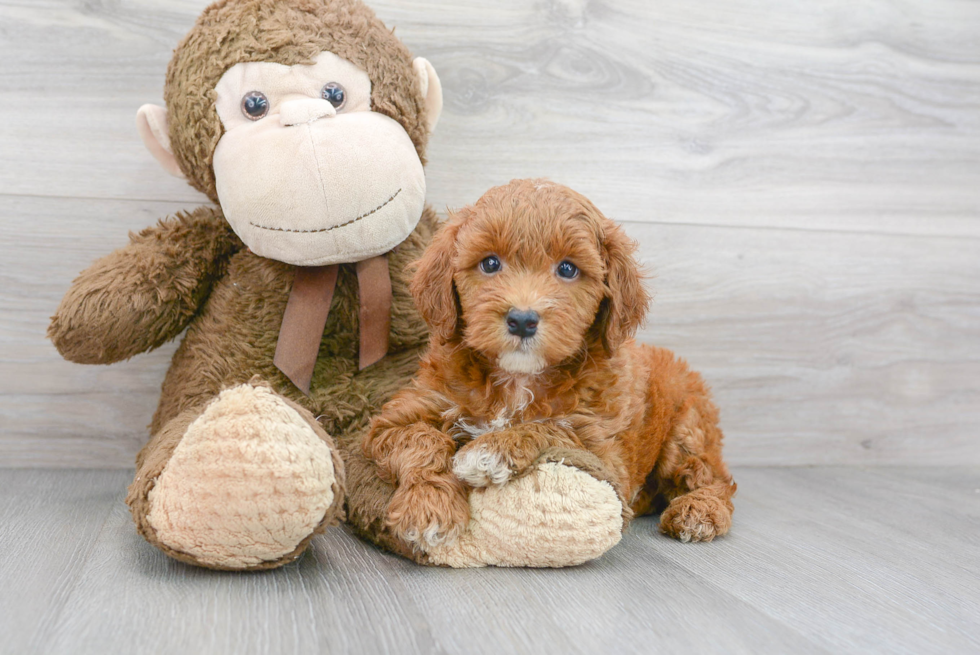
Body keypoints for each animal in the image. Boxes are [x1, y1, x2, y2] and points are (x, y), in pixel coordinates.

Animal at [364, 178, 732, 548]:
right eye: (490, 264)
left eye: (567, 268)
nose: (522, 320)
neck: (517, 379)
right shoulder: (398, 418)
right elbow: (422, 438)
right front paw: (427, 506)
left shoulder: (605, 454)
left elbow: (553, 428)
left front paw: (489, 451)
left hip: (688, 427)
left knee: (715, 478)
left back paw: (698, 512)